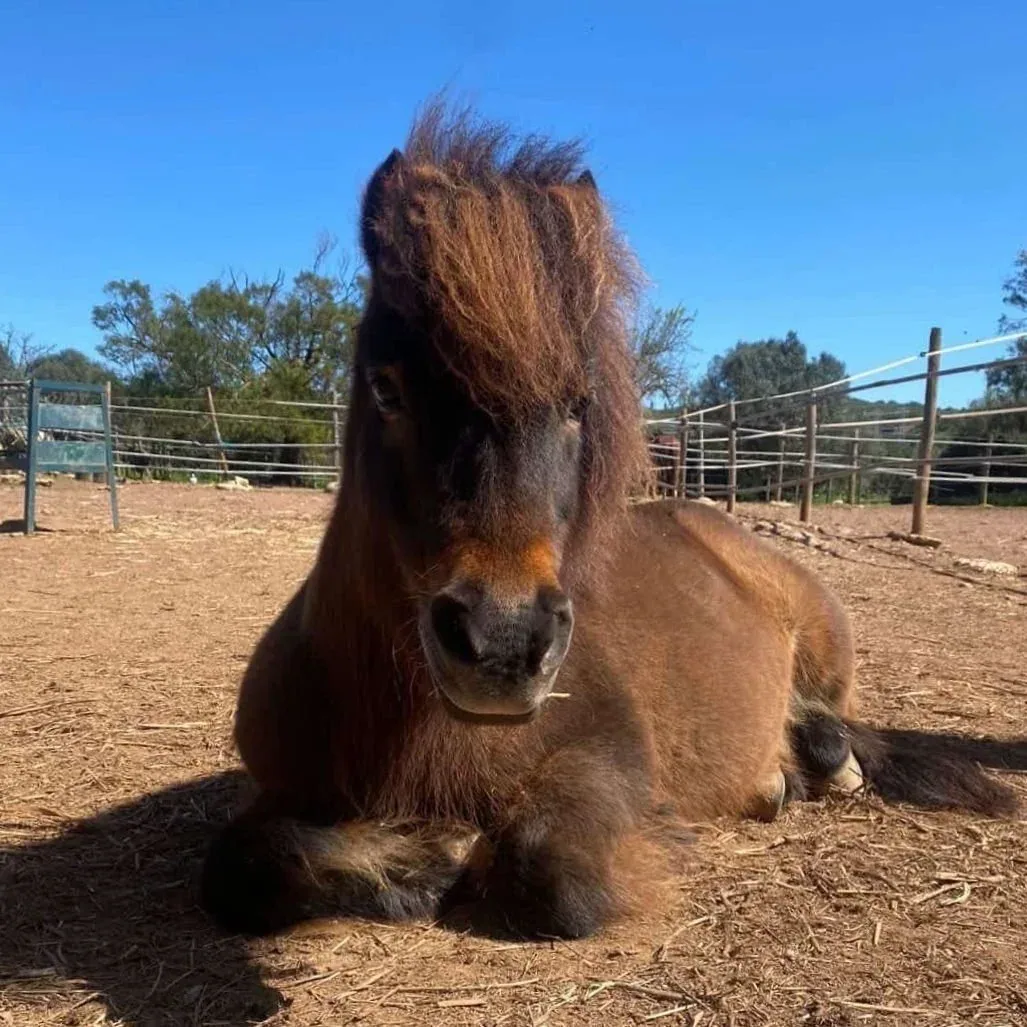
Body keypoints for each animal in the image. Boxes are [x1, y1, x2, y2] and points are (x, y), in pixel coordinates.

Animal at [200, 103, 1018, 941]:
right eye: (386, 389)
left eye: (576, 405)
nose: (503, 642)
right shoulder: (276, 786)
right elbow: (242, 865)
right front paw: (415, 860)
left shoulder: (609, 759)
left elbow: (552, 872)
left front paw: (448, 851)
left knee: (834, 723)